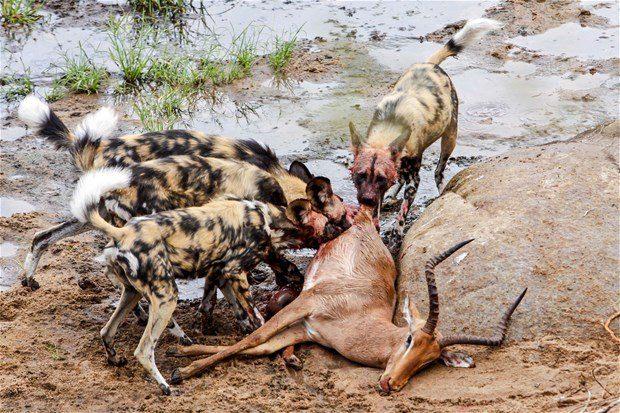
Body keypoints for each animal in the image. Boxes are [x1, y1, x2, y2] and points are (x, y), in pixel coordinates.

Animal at [18, 96, 354, 290]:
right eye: (341, 218)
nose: (352, 229)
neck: (276, 181)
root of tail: (100, 147)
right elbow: (277, 259)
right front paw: (287, 280)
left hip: (91, 213)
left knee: (42, 236)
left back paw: (29, 279)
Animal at [348, 18, 504, 248]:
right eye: (360, 175)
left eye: (380, 177)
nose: (366, 200)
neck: (390, 127)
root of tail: (430, 65)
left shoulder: (413, 182)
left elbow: (402, 215)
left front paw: (396, 236)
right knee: (404, 179)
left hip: (449, 138)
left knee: (438, 172)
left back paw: (440, 192)